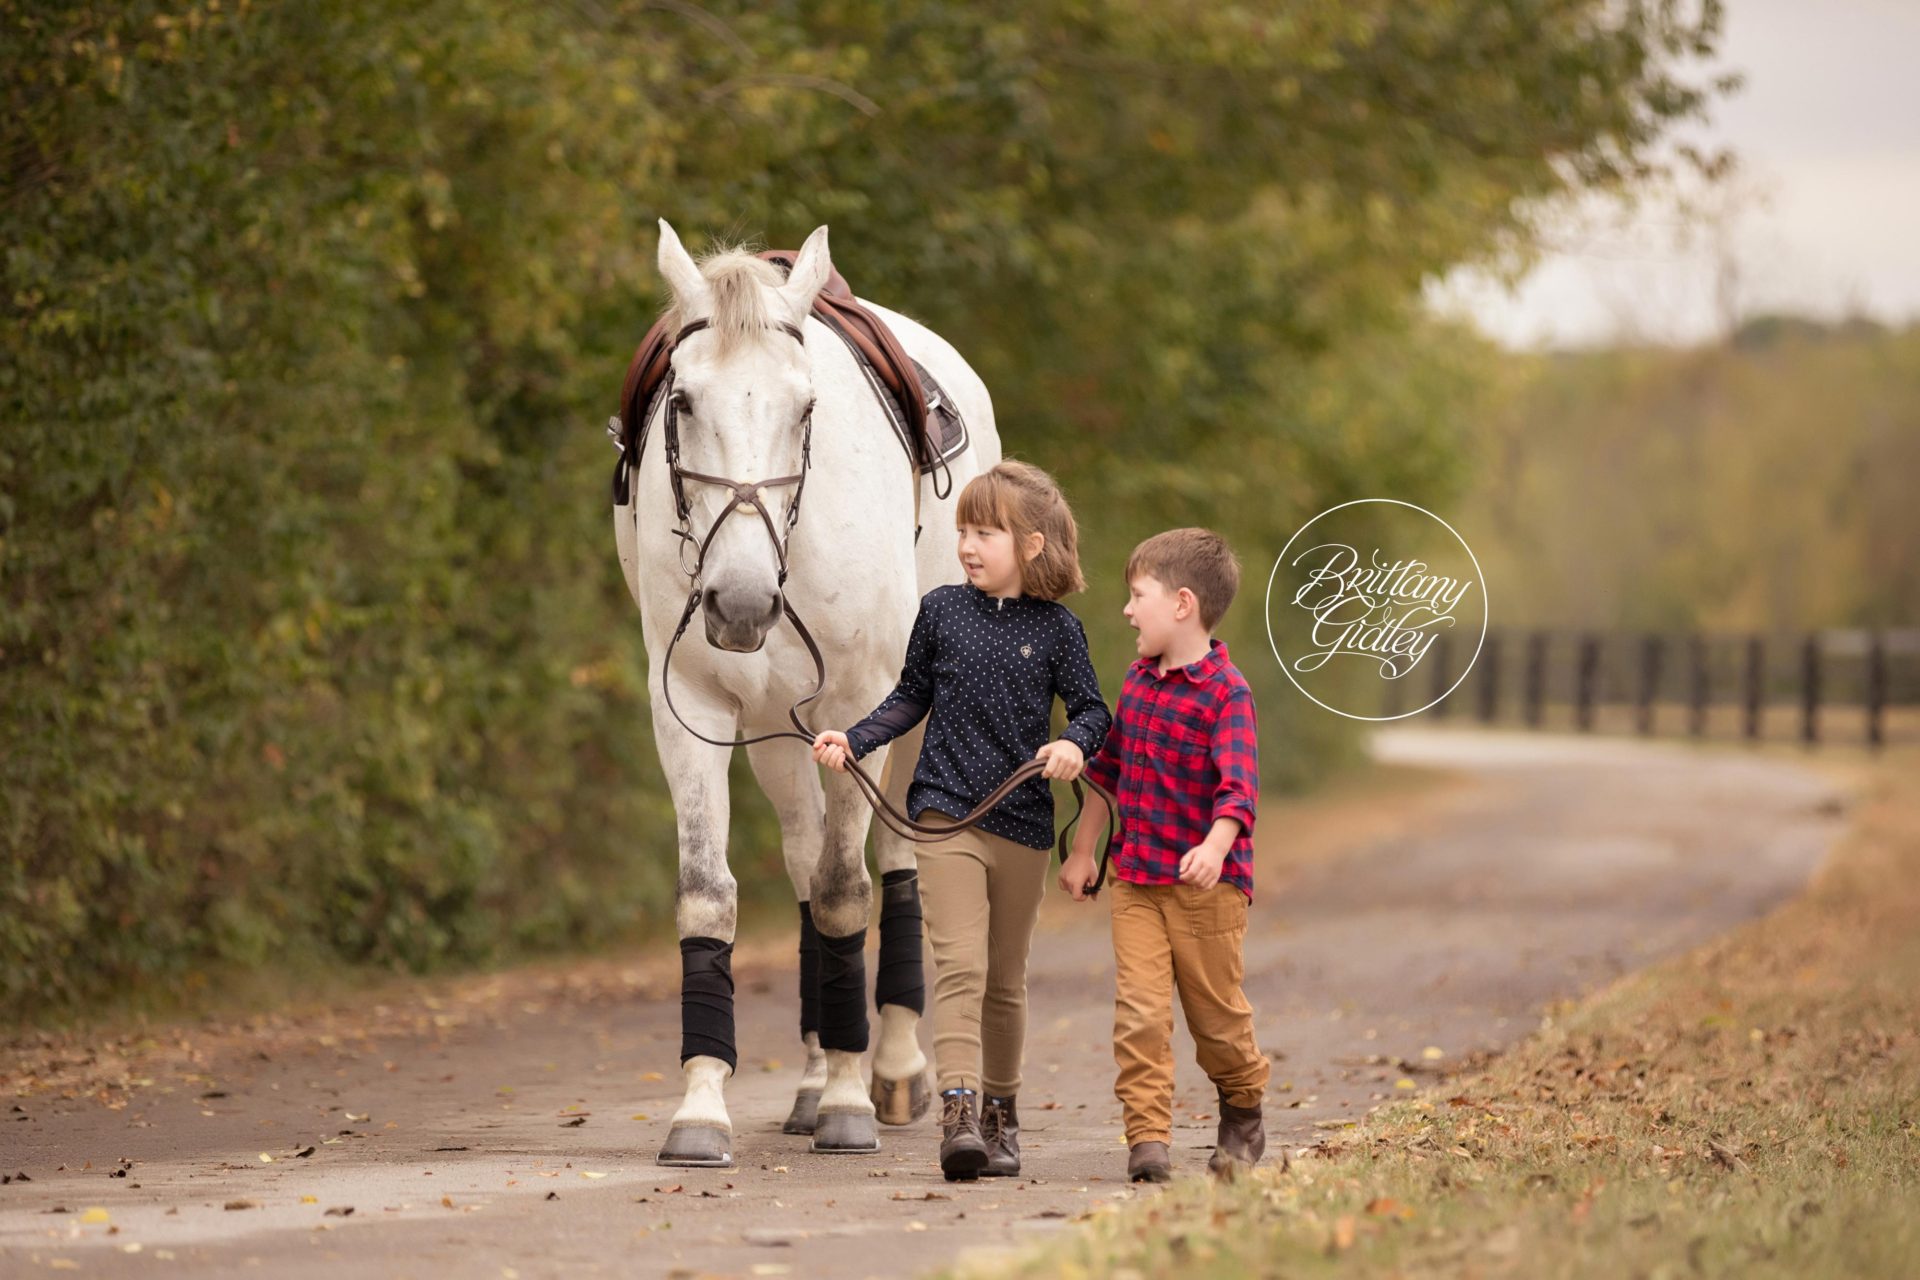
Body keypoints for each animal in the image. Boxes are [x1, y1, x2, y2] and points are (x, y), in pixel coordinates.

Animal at [613, 221, 1001, 1167]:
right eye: (683, 402)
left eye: (805, 409)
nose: (742, 602)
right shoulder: (691, 709)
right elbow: (713, 893)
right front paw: (703, 1106)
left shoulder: (862, 703)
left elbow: (845, 893)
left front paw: (854, 1103)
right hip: (780, 735)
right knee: (801, 856)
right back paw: (816, 1076)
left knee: (892, 861)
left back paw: (890, 1070)